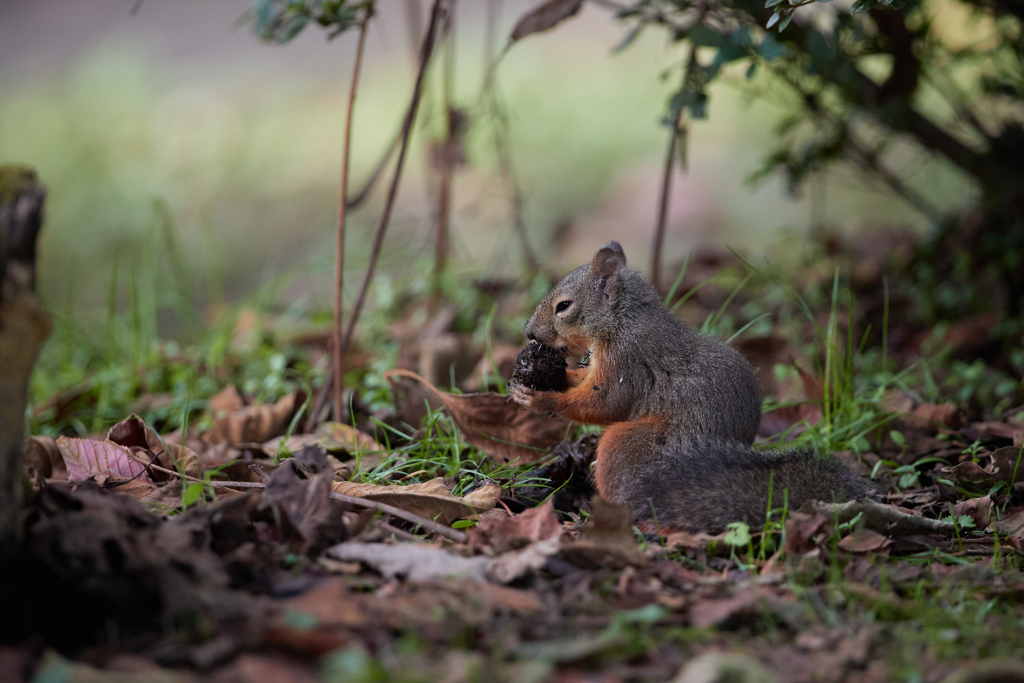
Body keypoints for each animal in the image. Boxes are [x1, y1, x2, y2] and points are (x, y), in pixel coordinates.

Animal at [507, 241, 868, 532]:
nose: (528, 332)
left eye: (564, 306)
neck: (622, 319)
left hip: (627, 447)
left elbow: (607, 403)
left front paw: (539, 399)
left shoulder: (628, 360)